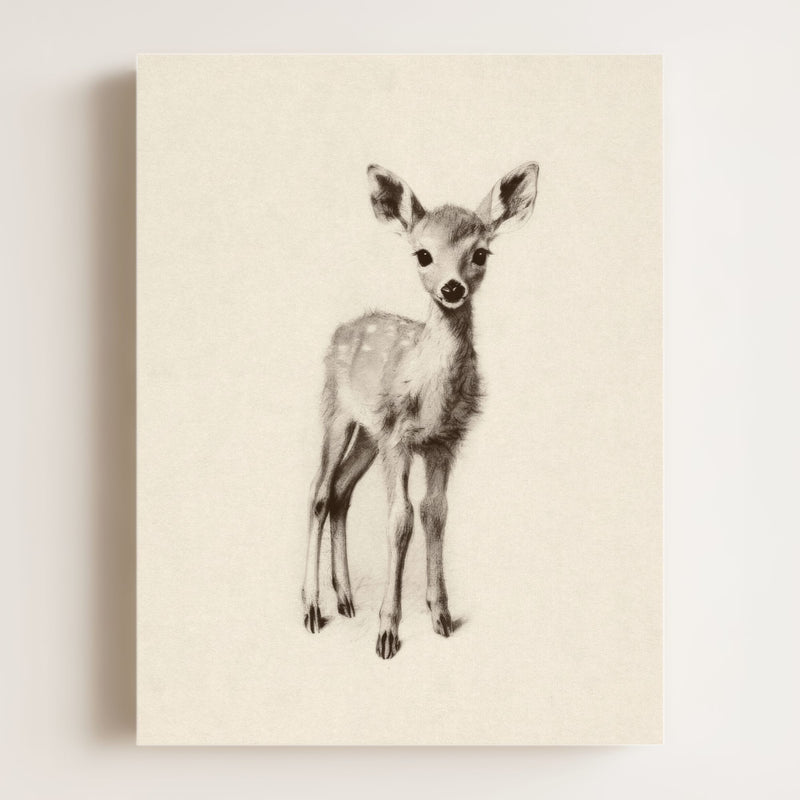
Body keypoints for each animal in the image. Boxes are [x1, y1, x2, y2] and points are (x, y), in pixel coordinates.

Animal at [302, 161, 539, 658]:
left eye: (481, 253)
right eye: (423, 255)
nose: (452, 287)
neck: (430, 393)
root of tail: (343, 329)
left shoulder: (443, 442)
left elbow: (435, 513)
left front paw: (441, 616)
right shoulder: (399, 438)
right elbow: (400, 519)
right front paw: (387, 632)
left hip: (369, 435)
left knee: (342, 491)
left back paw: (346, 599)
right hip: (336, 409)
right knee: (318, 492)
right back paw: (312, 608)